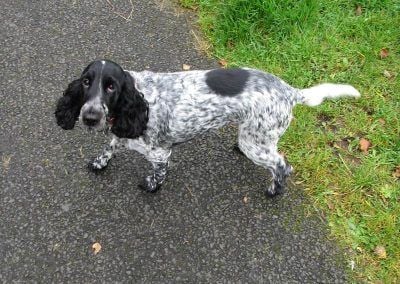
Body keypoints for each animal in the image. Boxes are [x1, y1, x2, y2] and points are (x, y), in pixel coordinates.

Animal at [54, 59, 360, 197]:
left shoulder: (160, 153)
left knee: (282, 165)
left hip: (257, 143)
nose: (90, 117)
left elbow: (158, 173)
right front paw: (100, 162)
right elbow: (110, 147)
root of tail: (290, 92)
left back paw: (274, 190)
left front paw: (151, 185)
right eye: (86, 82)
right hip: (253, 136)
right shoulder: (121, 134)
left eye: (111, 86)